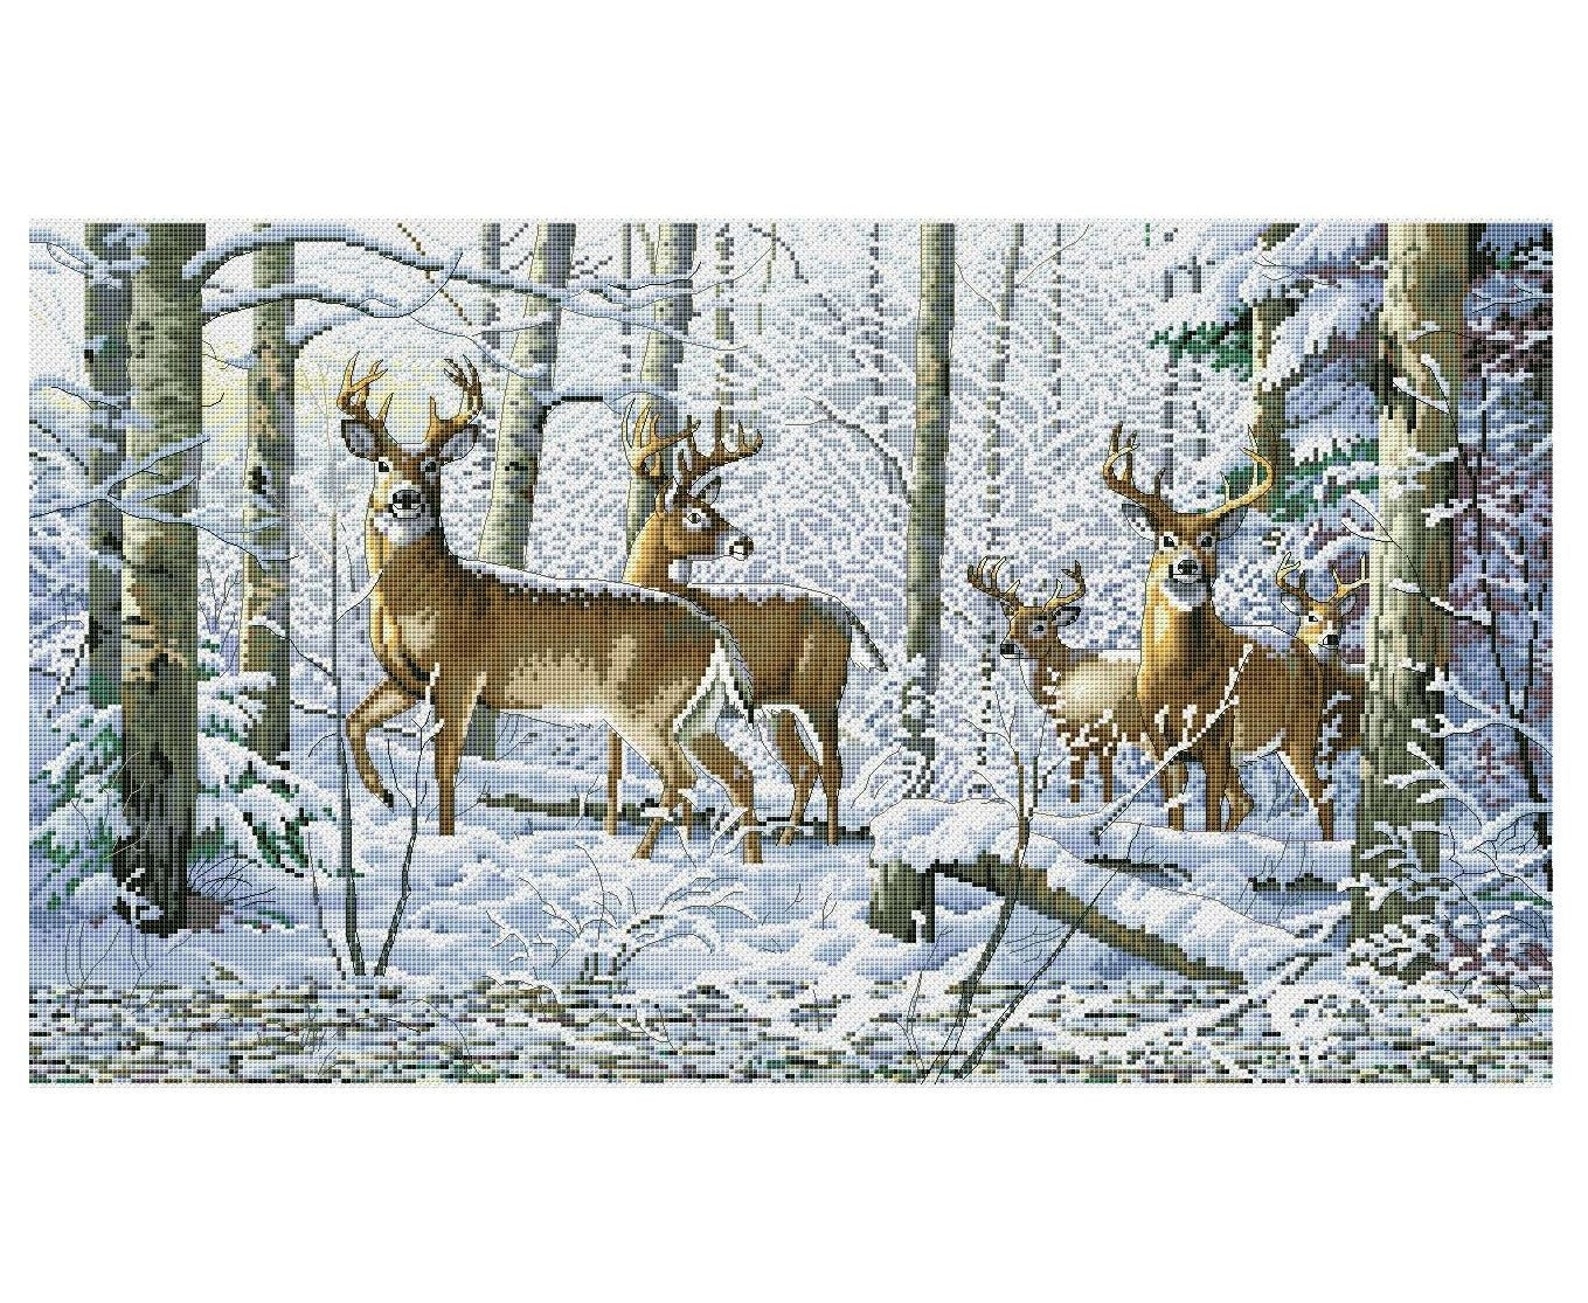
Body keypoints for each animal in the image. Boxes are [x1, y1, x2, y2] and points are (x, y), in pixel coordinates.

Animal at [336, 357, 761, 863]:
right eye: (382, 464)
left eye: (432, 464)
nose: (405, 497)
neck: (424, 600)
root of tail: (716, 632)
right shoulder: (406, 679)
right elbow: (354, 720)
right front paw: (383, 794)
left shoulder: (460, 675)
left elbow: (445, 764)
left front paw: (444, 842)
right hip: (695, 715)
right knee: (736, 774)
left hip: (644, 706)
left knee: (681, 775)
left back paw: (638, 859)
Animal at [609, 406, 886, 848]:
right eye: (696, 514)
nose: (744, 543)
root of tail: (845, 613)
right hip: (778, 709)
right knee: (803, 766)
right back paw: (785, 839)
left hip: (821, 692)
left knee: (831, 766)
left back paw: (828, 843)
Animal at [1101, 425, 1342, 839]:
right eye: (1166, 538)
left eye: (1208, 539)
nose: (1187, 565)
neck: (1178, 678)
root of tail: (1303, 650)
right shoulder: (1163, 741)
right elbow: (1176, 813)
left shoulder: (1217, 737)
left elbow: (1210, 817)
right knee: (1248, 801)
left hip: (1299, 731)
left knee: (1322, 796)